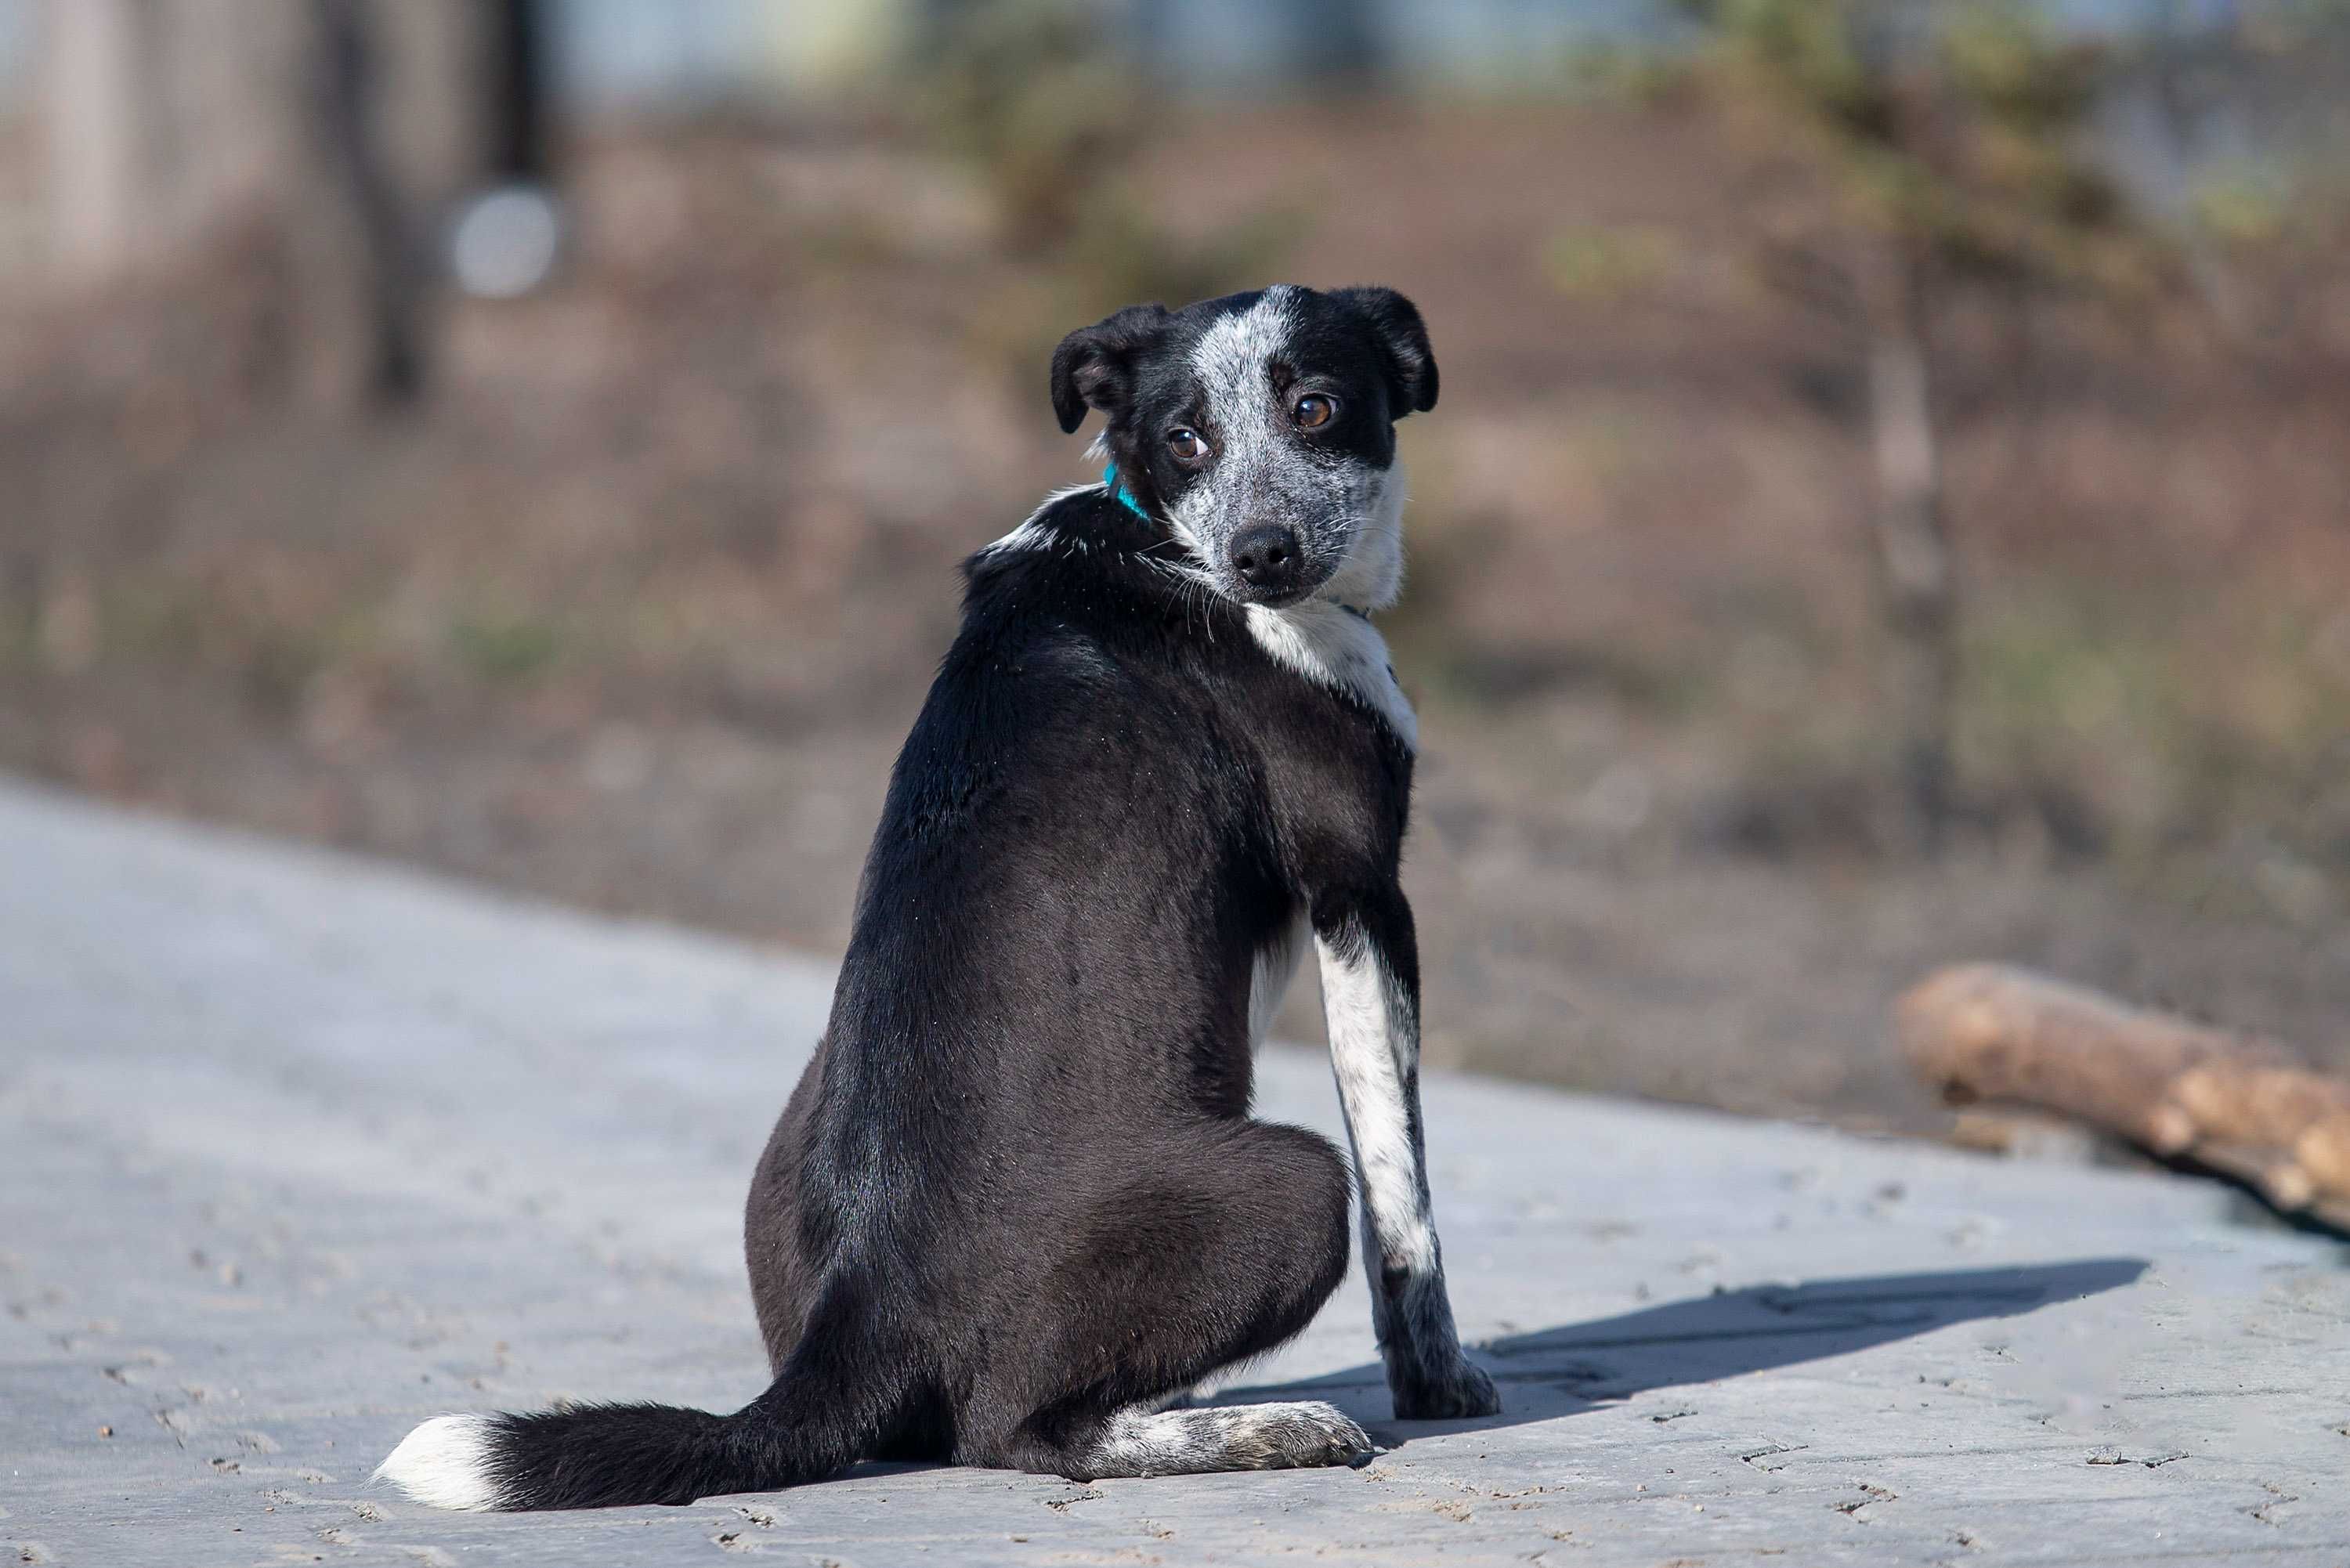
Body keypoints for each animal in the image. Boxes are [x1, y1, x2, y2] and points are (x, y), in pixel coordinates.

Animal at [376, 287, 1495, 1513]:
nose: (1261, 554)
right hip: (1290, 1184)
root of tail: (858, 1314)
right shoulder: (1362, 897)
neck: (1160, 535)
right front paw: (1440, 1381)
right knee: (1020, 1430)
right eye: (1185, 438)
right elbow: (1406, 1196)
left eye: (1315, 406)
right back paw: (1262, 1427)